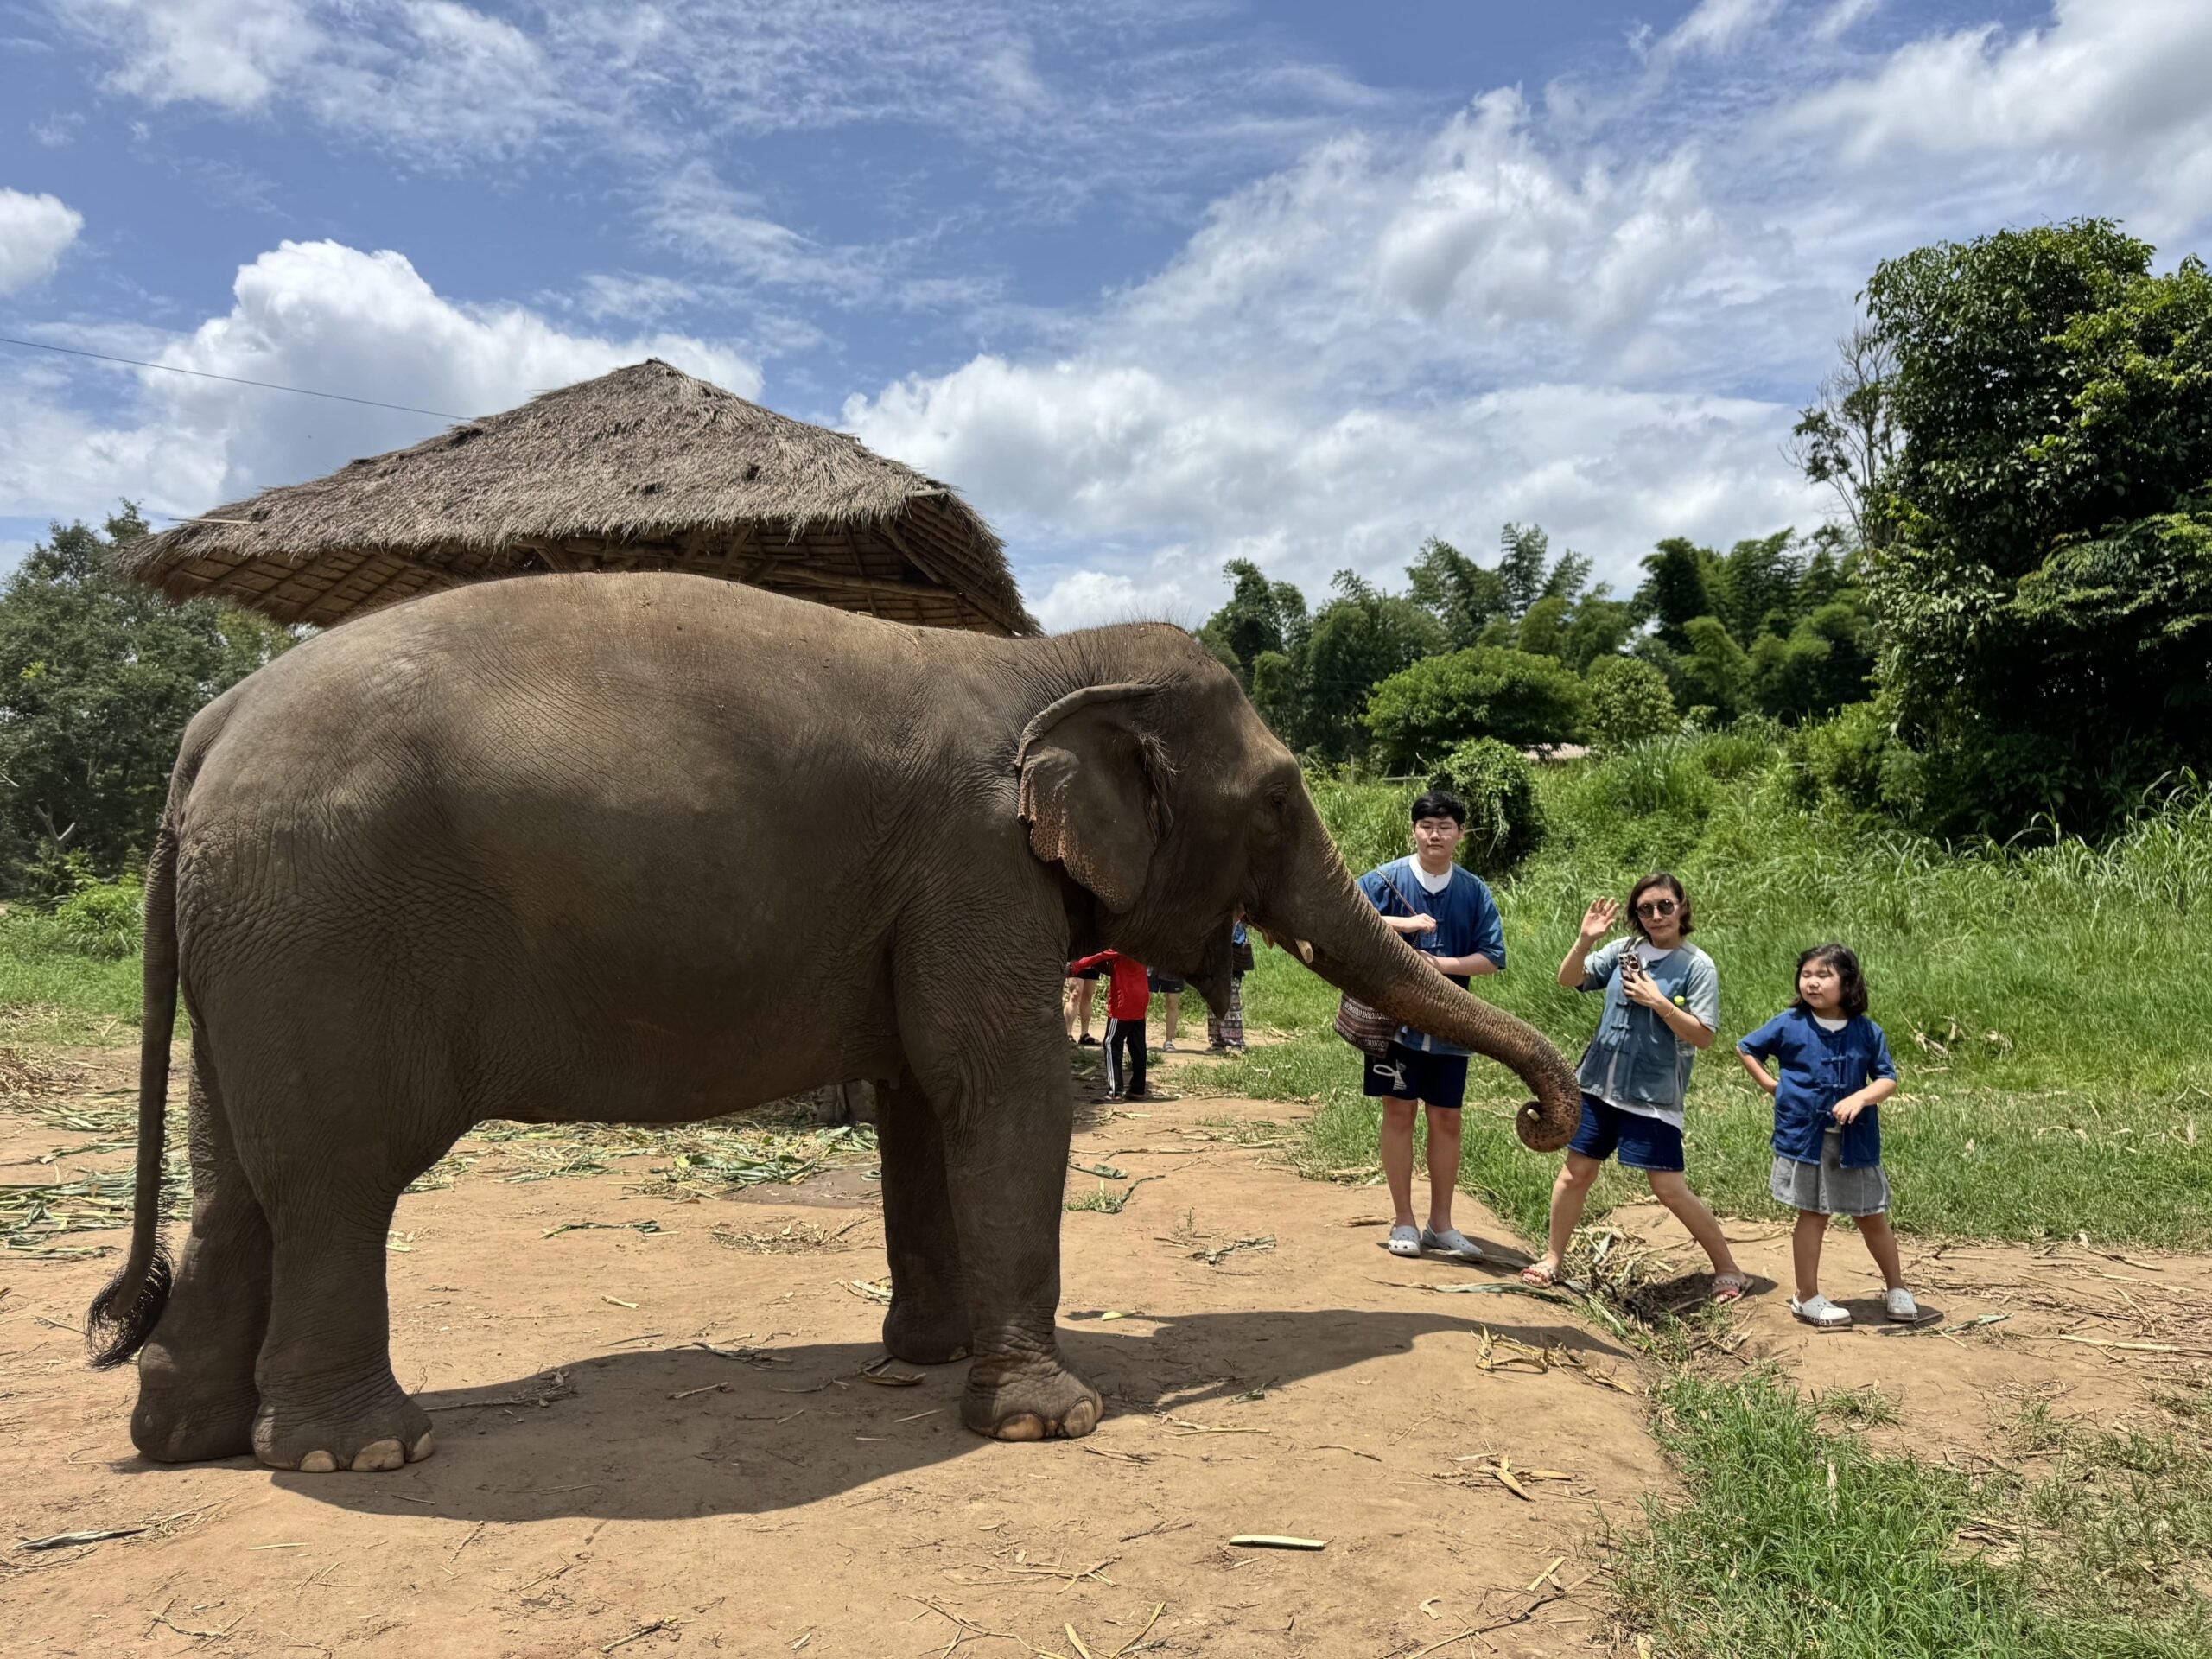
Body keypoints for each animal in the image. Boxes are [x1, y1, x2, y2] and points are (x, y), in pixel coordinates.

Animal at [87, 573, 1580, 1474]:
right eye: (1275, 800)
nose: (1545, 1112)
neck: (1051, 661)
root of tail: (206, 731)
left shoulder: (931, 891)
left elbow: (922, 1098)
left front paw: (925, 1360)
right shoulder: (974, 863)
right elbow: (1000, 1090)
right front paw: (1050, 1419)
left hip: (256, 946)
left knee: (241, 1181)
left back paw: (183, 1436)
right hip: (323, 929)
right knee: (338, 1180)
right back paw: (359, 1453)